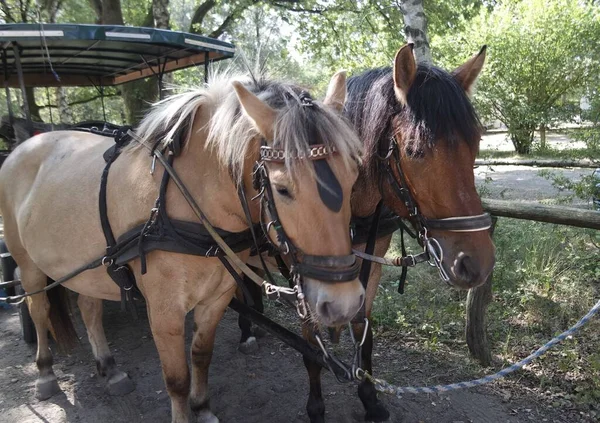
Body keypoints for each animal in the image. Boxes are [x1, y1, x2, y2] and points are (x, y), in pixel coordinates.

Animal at [0, 71, 366, 422]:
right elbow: (176, 378)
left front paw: (202, 407)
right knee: (38, 308)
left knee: (89, 307)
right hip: (28, 263)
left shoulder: (217, 297)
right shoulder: (165, 311)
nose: (343, 304)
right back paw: (45, 372)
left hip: (87, 266)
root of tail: (24, 146)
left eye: (354, 178)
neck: (183, 200)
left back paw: (109, 367)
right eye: (282, 189)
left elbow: (201, 356)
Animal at [239, 44, 496, 422]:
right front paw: (316, 406)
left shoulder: (371, 257)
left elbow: (364, 329)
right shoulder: (303, 270)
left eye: (475, 143)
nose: (476, 263)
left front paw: (370, 397)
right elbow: (310, 338)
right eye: (414, 150)